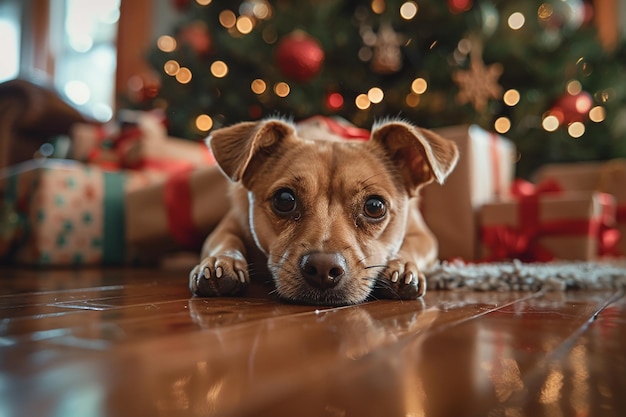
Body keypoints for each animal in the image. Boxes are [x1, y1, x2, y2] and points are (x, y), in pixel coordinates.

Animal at [188, 118, 456, 304]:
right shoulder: (230, 224)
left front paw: (403, 267)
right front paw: (222, 261)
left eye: (374, 206)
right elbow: (224, 241)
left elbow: (411, 247)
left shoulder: (424, 236)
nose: (323, 269)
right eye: (284, 200)